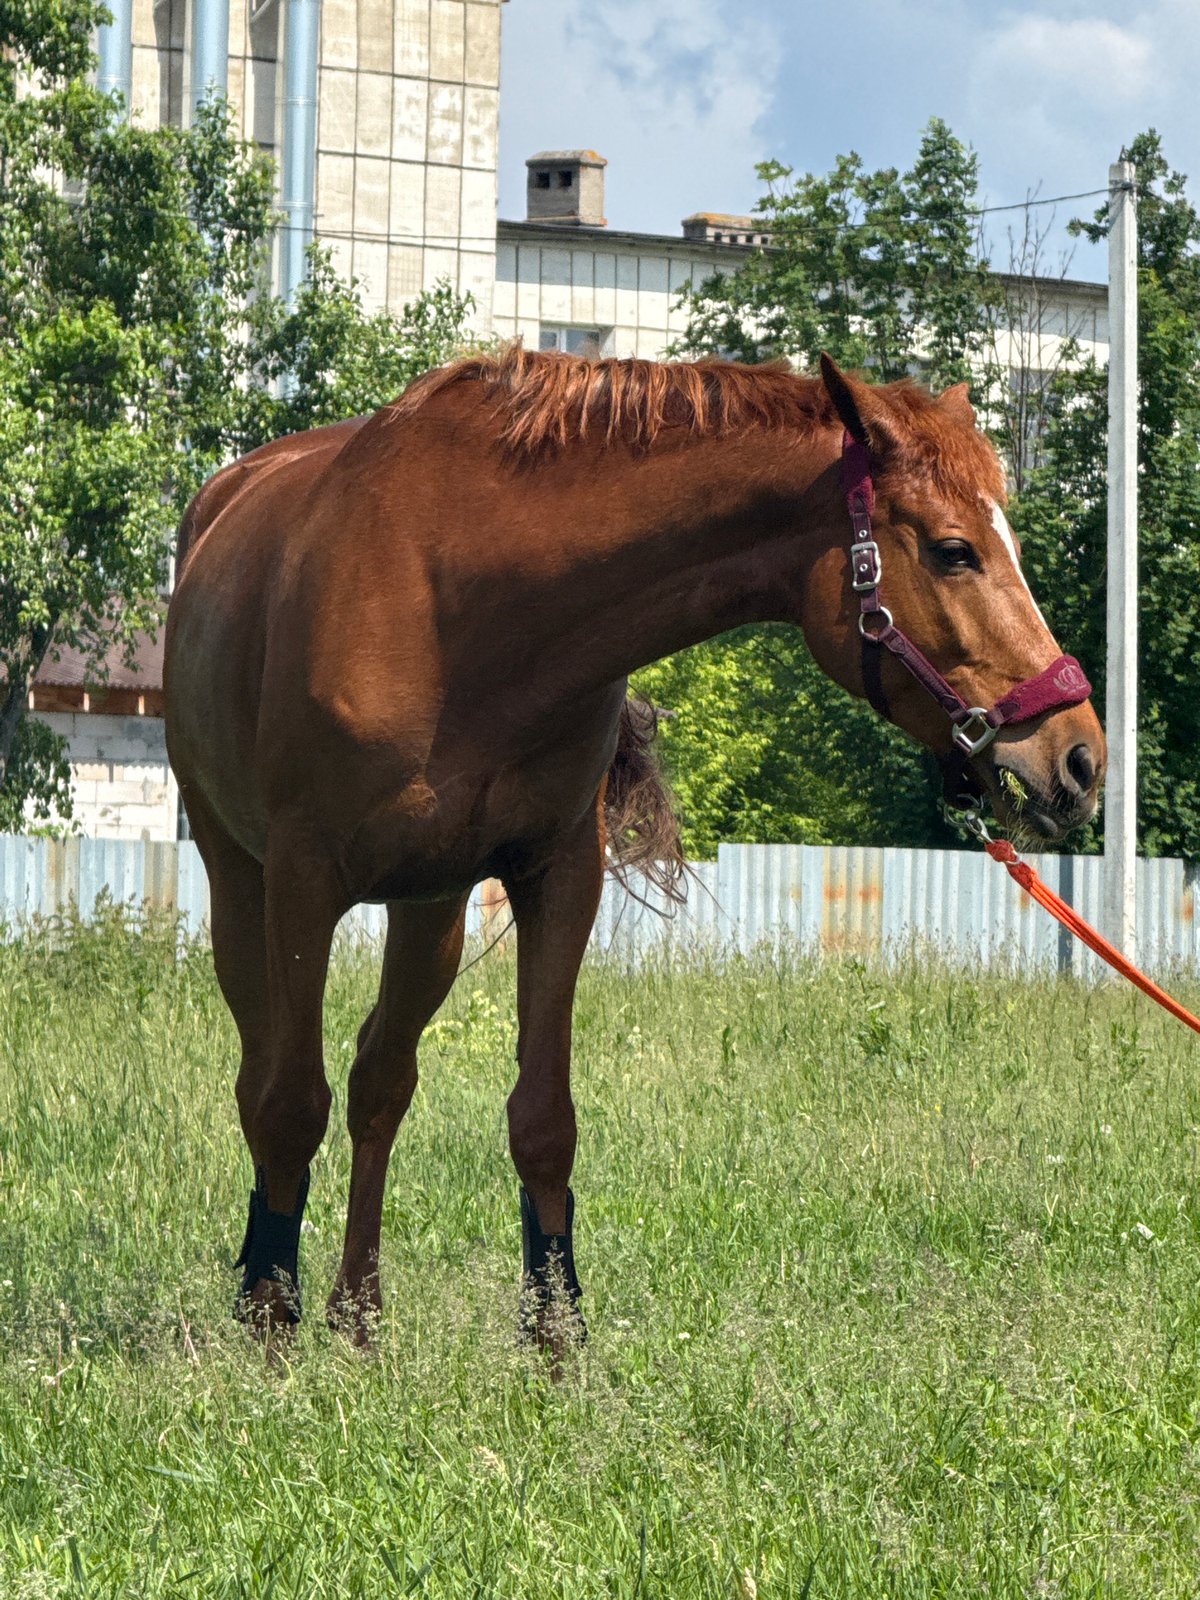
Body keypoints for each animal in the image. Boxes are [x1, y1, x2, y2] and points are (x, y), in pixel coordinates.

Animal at [163, 347, 1105, 1344]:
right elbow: (288, 1105)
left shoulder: (559, 879)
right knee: (267, 1081)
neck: (454, 601)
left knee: (381, 1079)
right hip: (242, 890)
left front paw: (556, 1344)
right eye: (954, 550)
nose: (1080, 755)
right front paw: (270, 1325)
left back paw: (357, 1316)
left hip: (432, 911)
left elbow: (542, 1121)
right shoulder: (303, 883)